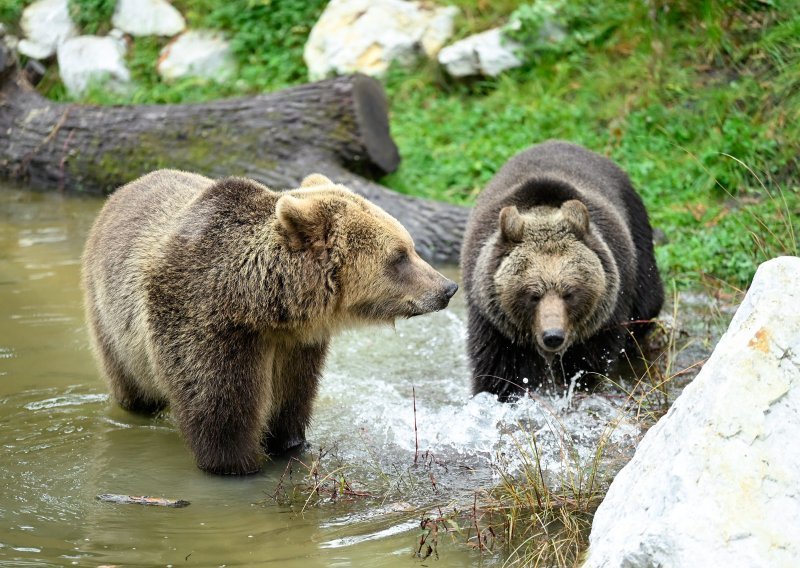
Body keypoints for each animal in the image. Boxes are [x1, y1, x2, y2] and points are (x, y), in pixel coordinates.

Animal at [83, 172, 456, 474]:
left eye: (410, 247)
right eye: (399, 256)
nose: (447, 288)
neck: (258, 304)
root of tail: (121, 192)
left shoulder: (296, 345)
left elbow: (291, 399)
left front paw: (289, 442)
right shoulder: (205, 324)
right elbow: (219, 407)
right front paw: (237, 463)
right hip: (110, 321)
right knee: (131, 386)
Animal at [460, 141, 664, 400]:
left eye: (570, 293)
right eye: (532, 295)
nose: (553, 336)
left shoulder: (601, 321)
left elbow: (586, 367)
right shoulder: (495, 325)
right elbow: (501, 372)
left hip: (638, 235)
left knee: (647, 303)